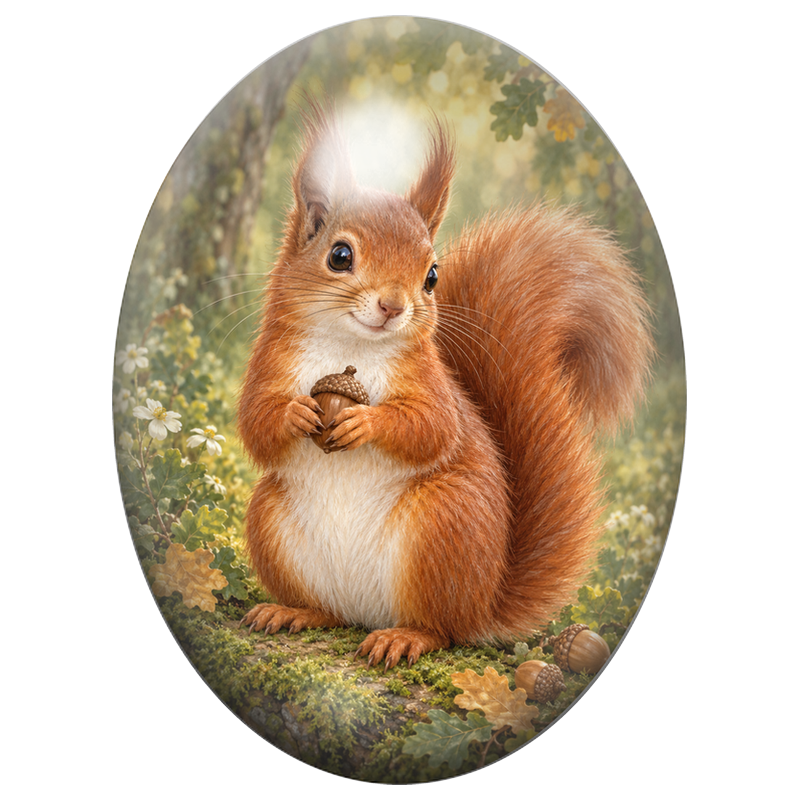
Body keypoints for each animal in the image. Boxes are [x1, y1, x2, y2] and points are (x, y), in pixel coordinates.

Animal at [237, 107, 654, 669]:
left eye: (432, 275)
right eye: (339, 255)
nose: (393, 306)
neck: (351, 346)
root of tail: (483, 604)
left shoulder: (433, 384)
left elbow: (431, 428)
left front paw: (365, 420)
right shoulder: (269, 363)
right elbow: (256, 421)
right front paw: (296, 415)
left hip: (442, 525)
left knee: (444, 629)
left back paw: (406, 637)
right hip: (272, 519)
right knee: (330, 609)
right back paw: (293, 611)